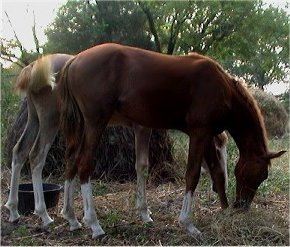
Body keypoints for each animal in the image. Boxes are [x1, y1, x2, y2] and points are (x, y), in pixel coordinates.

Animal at [4, 52, 229, 233]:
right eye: (219, 150)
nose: (222, 185)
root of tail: (33, 67)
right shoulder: (142, 128)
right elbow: (141, 166)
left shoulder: (139, 129)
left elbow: (139, 165)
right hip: (50, 121)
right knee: (36, 156)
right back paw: (44, 214)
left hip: (35, 118)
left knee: (20, 151)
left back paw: (14, 210)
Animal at [57, 43, 284, 238]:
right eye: (261, 175)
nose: (242, 206)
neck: (223, 89)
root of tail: (75, 59)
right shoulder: (200, 132)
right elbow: (192, 175)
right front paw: (188, 223)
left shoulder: (207, 135)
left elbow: (217, 174)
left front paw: (224, 210)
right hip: (96, 123)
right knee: (84, 165)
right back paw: (94, 224)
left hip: (81, 126)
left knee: (71, 162)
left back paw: (71, 218)